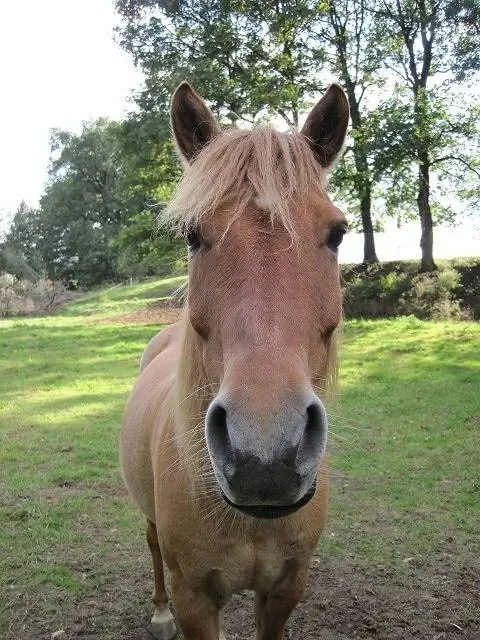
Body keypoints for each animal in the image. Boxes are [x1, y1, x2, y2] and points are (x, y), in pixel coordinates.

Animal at [121, 81, 348, 640]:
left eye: (336, 233)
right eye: (192, 235)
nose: (263, 457)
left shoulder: (287, 588)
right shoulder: (196, 599)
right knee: (151, 543)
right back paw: (158, 615)